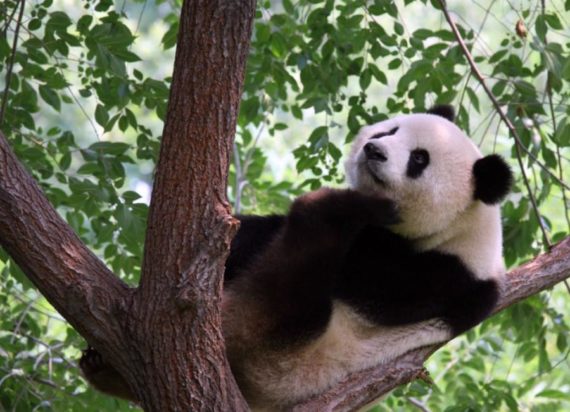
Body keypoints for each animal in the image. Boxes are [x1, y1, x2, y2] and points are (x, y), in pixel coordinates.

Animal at [79, 105, 510, 408]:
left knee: (304, 258)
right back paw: (103, 368)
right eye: (390, 130)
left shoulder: (439, 274)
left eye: (419, 159)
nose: (374, 150)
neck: (466, 227)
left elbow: (366, 275)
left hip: (273, 346)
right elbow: (252, 236)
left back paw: (328, 207)